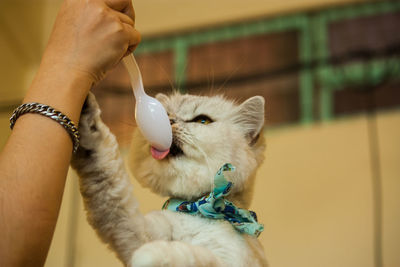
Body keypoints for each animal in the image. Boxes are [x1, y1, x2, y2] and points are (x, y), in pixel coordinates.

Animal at [71, 92, 268, 267]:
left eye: (202, 120)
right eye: (165, 114)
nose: (169, 121)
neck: (195, 208)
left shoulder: (230, 261)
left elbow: (193, 256)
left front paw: (152, 254)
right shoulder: (137, 231)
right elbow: (109, 177)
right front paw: (87, 117)